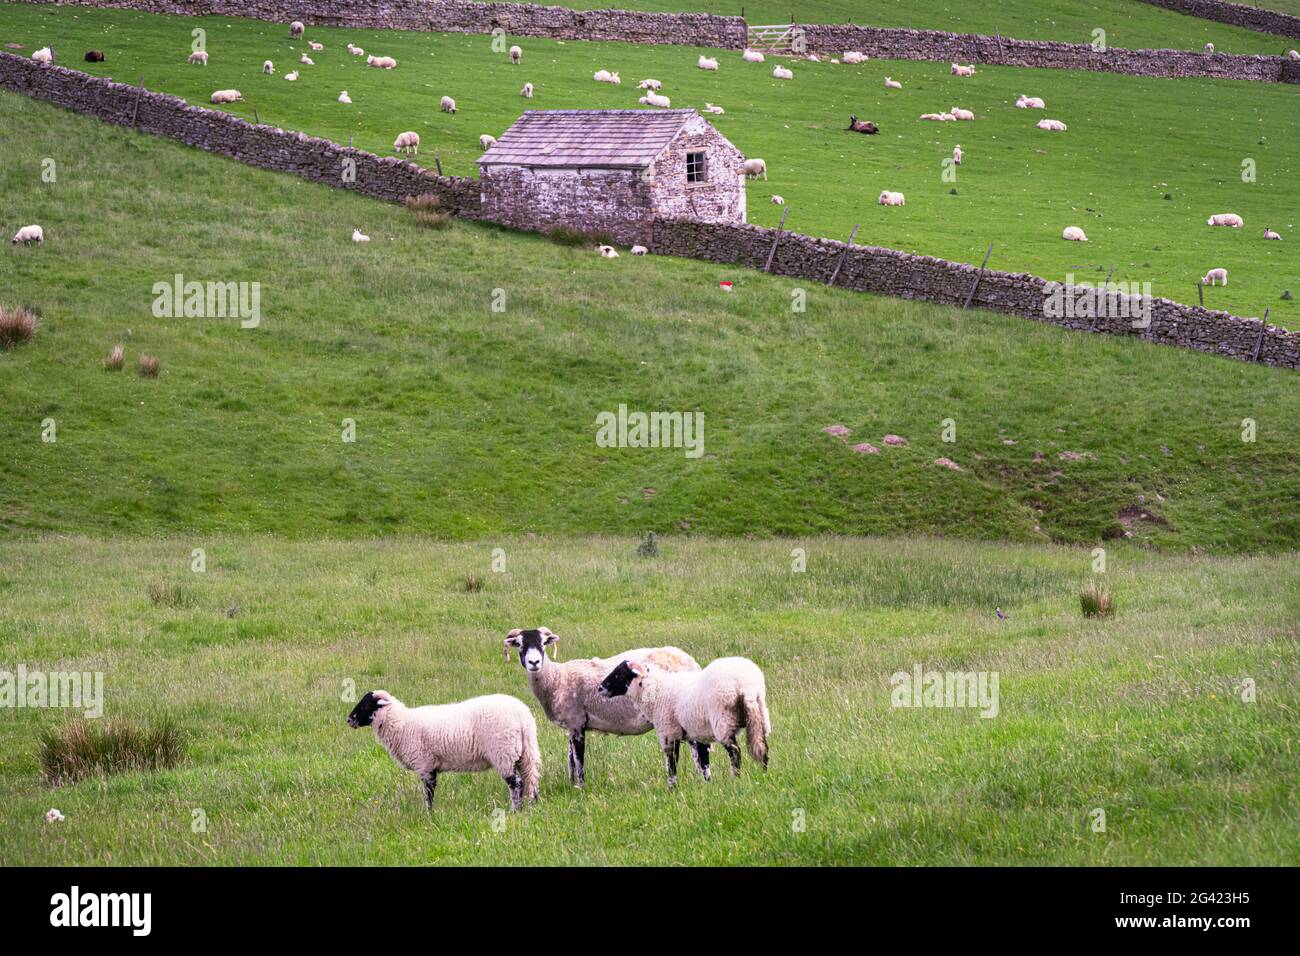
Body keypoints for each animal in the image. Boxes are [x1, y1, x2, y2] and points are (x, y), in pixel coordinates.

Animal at [345, 686, 538, 816]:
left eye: (365, 705)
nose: (348, 720)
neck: (402, 723)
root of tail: (523, 716)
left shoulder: (425, 765)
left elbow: (428, 794)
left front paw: (429, 815)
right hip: (525, 752)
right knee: (531, 779)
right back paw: (531, 806)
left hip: (504, 753)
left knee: (516, 783)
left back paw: (515, 810)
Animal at [499, 624, 702, 790]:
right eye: (520, 644)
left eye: (543, 643)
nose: (534, 663)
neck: (557, 678)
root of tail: (692, 662)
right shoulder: (571, 726)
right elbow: (570, 761)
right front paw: (572, 786)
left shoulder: (577, 722)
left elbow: (579, 761)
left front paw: (581, 789)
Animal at [598, 655, 769, 790]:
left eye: (620, 673)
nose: (600, 688)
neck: (657, 690)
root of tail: (747, 686)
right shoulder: (698, 734)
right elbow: (704, 764)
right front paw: (707, 786)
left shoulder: (669, 733)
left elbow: (672, 764)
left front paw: (672, 788)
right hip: (759, 715)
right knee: (763, 748)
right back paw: (764, 774)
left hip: (723, 721)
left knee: (735, 752)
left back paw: (736, 778)